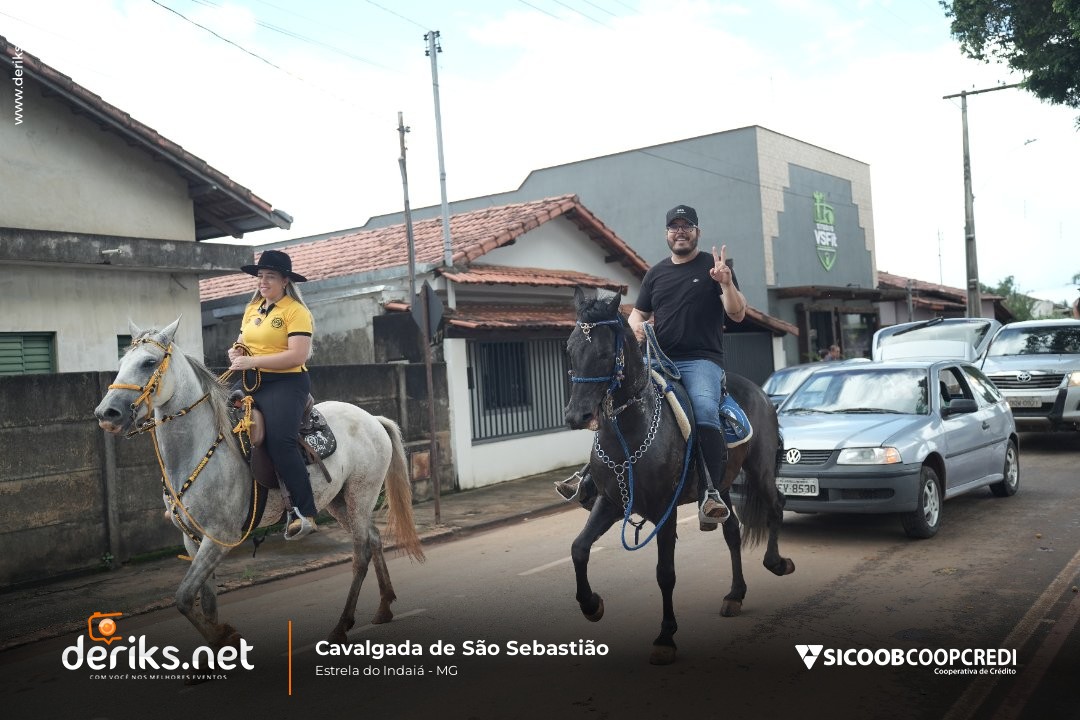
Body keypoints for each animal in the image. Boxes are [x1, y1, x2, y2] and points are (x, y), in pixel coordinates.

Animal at [94, 318, 425, 650]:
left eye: (149, 362)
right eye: (121, 363)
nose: (106, 413)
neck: (199, 448)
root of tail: (372, 418)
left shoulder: (219, 538)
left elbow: (184, 597)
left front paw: (225, 635)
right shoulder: (193, 538)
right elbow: (206, 601)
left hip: (360, 495)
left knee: (361, 554)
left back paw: (341, 626)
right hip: (339, 502)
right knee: (374, 539)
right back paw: (384, 607)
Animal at [563, 290, 795, 665]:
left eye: (603, 353)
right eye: (570, 349)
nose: (577, 415)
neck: (629, 434)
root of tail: (759, 392)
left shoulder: (664, 510)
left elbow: (665, 573)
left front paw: (665, 637)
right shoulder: (611, 502)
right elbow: (579, 548)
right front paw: (591, 604)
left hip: (759, 469)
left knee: (776, 507)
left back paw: (776, 563)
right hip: (722, 485)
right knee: (732, 531)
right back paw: (735, 594)